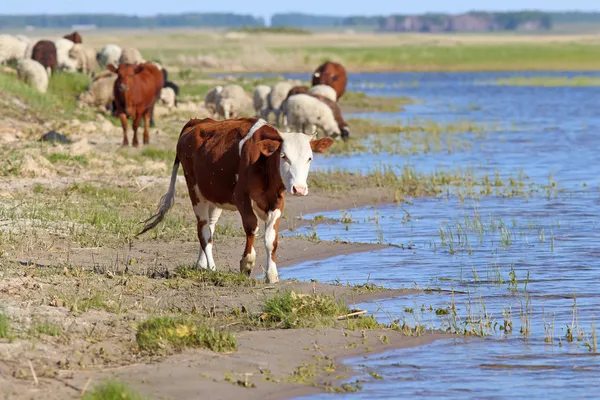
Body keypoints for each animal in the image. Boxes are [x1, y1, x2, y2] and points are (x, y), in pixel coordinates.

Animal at [139, 117, 336, 282]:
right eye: (284, 156)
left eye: (309, 158)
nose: (299, 189)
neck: (263, 163)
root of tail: (197, 121)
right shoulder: (241, 196)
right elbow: (251, 226)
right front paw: (247, 263)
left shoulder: (277, 200)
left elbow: (271, 239)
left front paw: (272, 274)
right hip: (195, 192)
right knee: (203, 230)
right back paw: (212, 268)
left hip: (214, 196)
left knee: (210, 227)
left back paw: (201, 264)